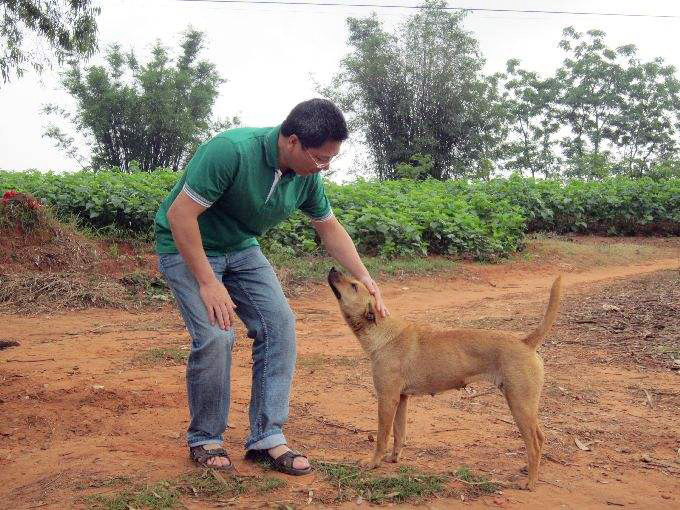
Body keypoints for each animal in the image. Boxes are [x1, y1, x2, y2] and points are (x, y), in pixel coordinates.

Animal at [326, 266, 560, 490]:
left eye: (354, 286)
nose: (333, 268)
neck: (384, 334)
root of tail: (525, 343)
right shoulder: (401, 399)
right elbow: (399, 434)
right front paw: (393, 458)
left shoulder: (387, 399)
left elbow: (382, 437)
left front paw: (374, 462)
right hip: (526, 407)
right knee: (540, 438)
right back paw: (529, 470)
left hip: (519, 405)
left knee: (534, 444)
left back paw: (530, 482)